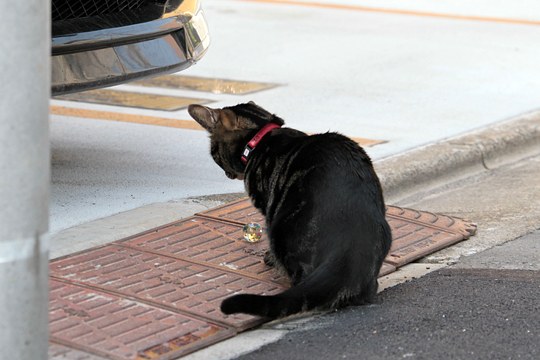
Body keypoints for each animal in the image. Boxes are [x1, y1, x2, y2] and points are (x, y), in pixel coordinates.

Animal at [188, 101, 390, 318]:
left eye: (213, 153)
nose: (226, 173)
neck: (261, 138)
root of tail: (346, 247)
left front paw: (269, 258)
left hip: (280, 229)